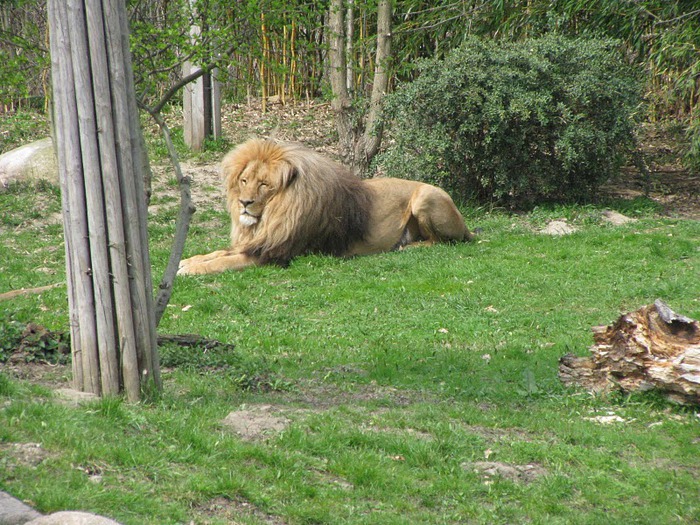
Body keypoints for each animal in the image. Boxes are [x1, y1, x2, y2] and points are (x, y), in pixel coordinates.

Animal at [176, 137, 476, 276]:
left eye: (264, 185)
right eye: (244, 180)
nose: (244, 203)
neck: (271, 216)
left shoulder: (275, 254)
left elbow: (224, 262)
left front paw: (190, 270)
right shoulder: (259, 242)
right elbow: (218, 253)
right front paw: (188, 260)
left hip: (426, 195)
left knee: (441, 241)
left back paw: (408, 246)